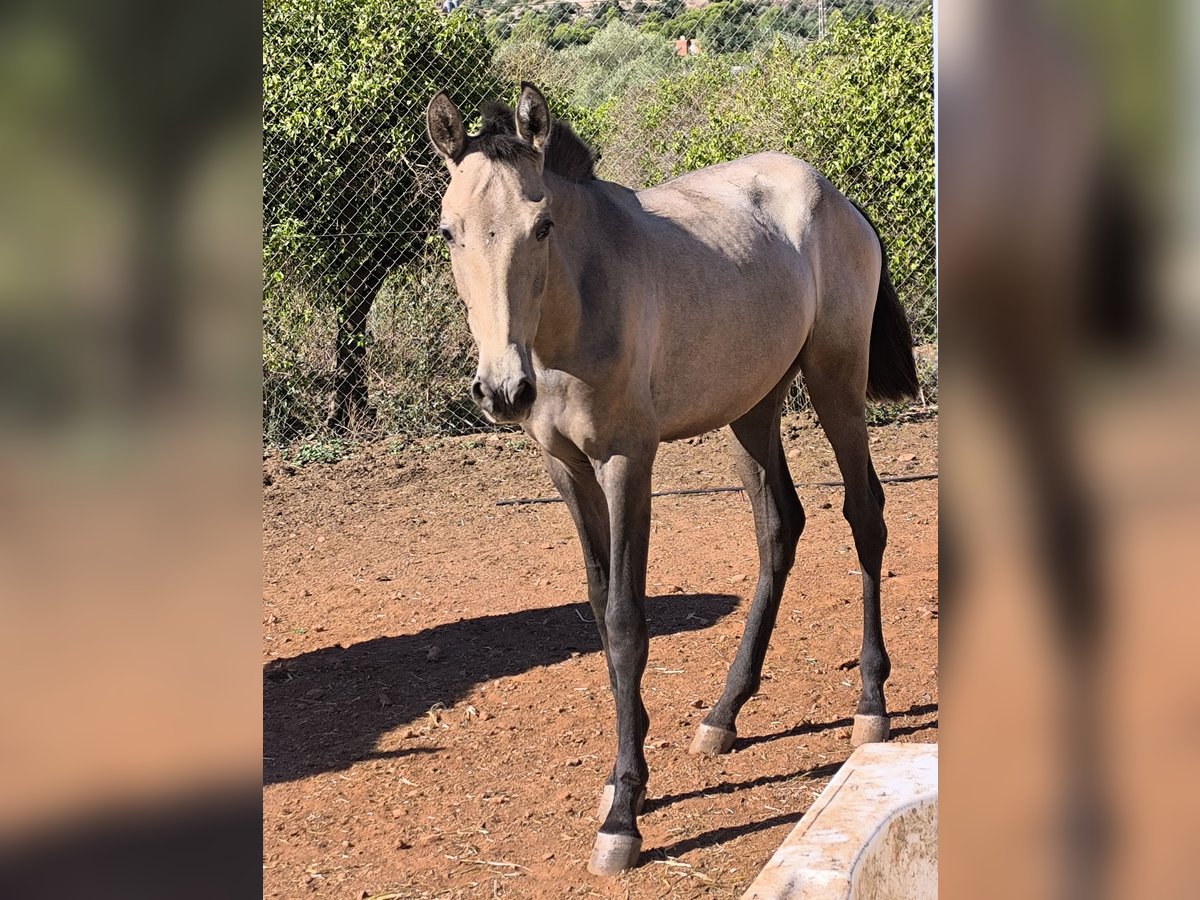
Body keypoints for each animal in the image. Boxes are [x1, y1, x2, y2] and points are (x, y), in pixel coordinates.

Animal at [425, 82, 919, 876]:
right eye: (450, 232)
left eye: (542, 225)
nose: (502, 390)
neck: (578, 305)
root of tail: (835, 198)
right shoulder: (566, 470)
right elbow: (600, 613)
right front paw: (620, 780)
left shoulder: (628, 462)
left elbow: (628, 621)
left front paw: (624, 815)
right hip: (752, 408)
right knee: (779, 527)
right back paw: (724, 714)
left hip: (835, 383)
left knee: (864, 515)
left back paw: (870, 703)